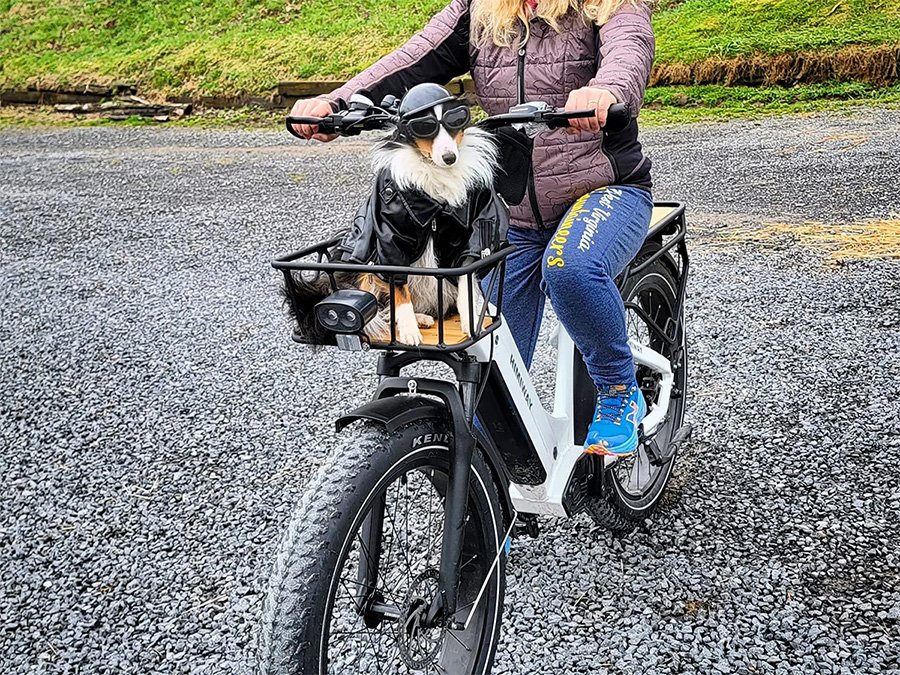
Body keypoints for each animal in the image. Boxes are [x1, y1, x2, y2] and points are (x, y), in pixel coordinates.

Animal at [288, 83, 512, 348]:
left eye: (456, 120)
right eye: (424, 126)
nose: (450, 158)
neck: (435, 172)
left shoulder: (471, 238)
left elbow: (466, 281)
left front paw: (470, 320)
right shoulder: (390, 242)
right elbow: (399, 291)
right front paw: (408, 330)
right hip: (363, 269)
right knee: (379, 307)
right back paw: (416, 319)